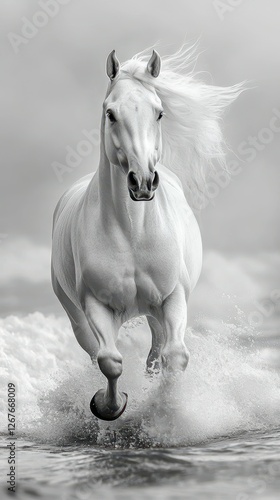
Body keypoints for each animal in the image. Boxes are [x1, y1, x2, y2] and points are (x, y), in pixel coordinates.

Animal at [52, 47, 243, 420]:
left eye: (159, 112)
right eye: (111, 114)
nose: (142, 181)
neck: (133, 234)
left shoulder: (173, 297)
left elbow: (175, 357)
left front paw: (166, 409)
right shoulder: (96, 304)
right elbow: (110, 361)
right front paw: (108, 406)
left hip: (154, 312)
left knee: (156, 352)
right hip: (77, 316)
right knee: (95, 353)